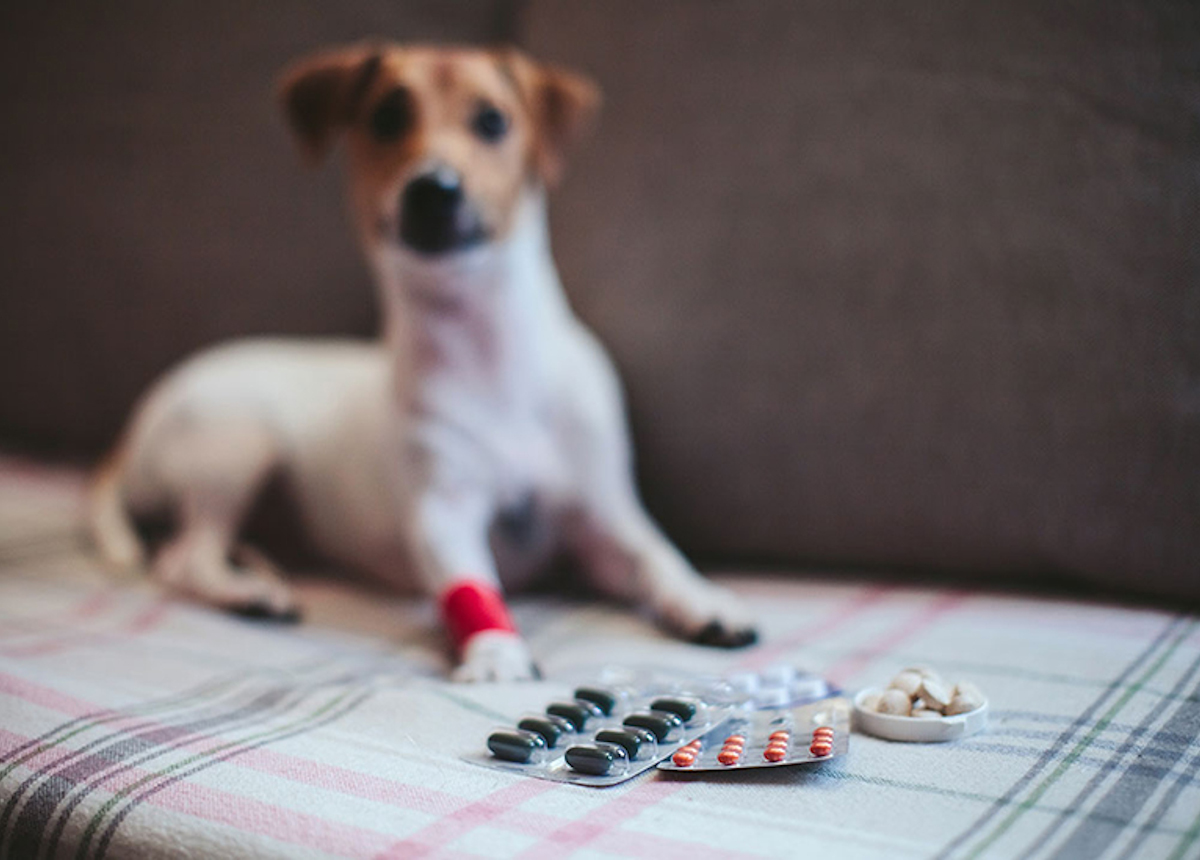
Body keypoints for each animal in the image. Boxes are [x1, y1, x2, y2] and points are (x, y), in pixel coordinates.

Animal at [88, 43, 753, 681]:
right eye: (386, 117)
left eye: (492, 121)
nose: (433, 188)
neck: (491, 357)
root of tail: (133, 433)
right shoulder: (442, 511)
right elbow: (468, 583)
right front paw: (495, 648)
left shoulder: (602, 518)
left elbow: (656, 555)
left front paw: (706, 601)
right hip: (236, 443)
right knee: (183, 557)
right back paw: (246, 593)